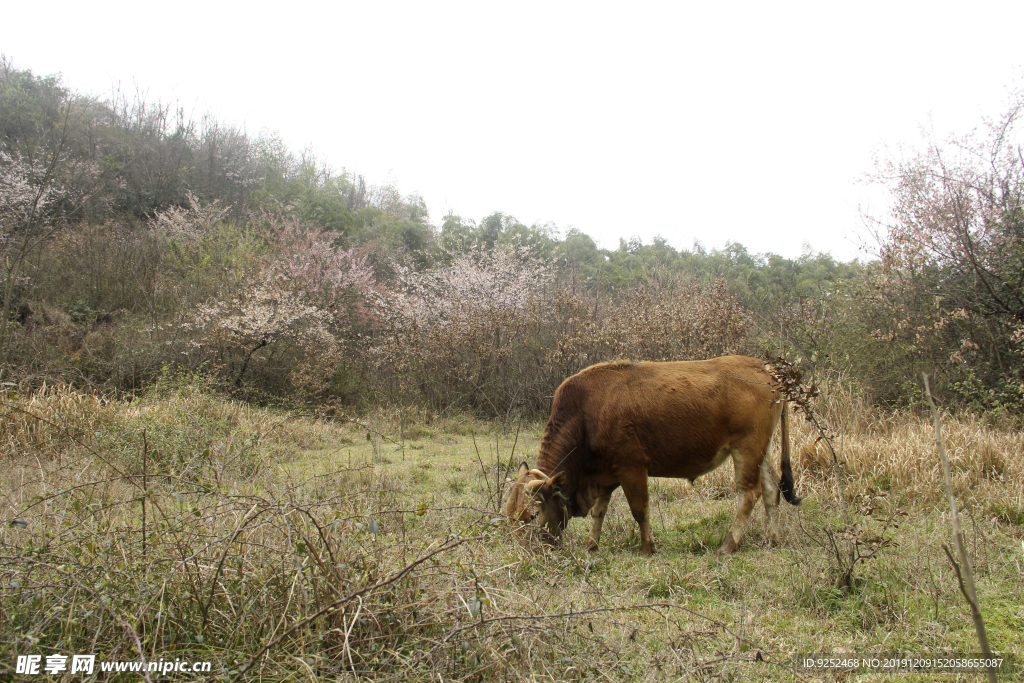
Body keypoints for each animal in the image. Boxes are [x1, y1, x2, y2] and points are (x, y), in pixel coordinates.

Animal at [503, 358, 798, 557]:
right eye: (510, 515)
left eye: (532, 515)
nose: (522, 555)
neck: (585, 415)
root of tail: (765, 368)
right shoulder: (605, 477)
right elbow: (600, 511)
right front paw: (591, 545)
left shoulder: (632, 469)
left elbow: (640, 510)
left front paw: (647, 547)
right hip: (762, 450)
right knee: (771, 490)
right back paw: (772, 538)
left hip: (746, 448)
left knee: (748, 494)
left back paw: (728, 545)